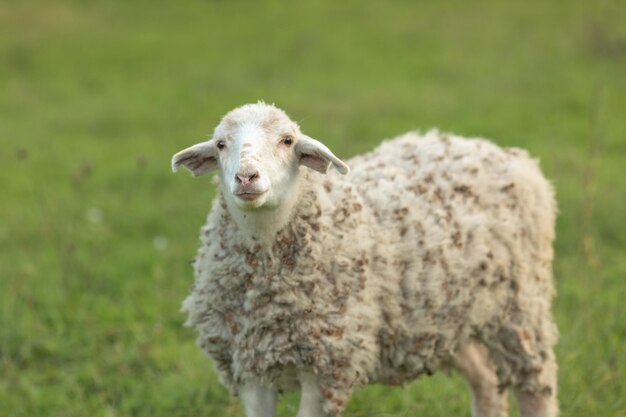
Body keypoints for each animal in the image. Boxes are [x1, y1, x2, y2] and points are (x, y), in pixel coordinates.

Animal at [169, 102, 556, 416]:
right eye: (220, 144)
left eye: (288, 141)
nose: (246, 177)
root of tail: (497, 150)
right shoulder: (249, 365)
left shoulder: (328, 364)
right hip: (447, 315)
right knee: (487, 381)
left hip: (520, 308)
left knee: (537, 389)